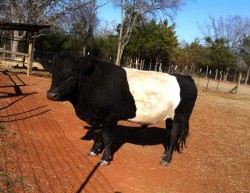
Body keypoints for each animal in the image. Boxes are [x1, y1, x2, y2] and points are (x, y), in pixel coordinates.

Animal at [46, 52, 196, 166]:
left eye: (71, 75)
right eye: (53, 73)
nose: (51, 94)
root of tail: (185, 77)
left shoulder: (110, 117)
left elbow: (107, 138)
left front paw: (105, 159)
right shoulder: (97, 117)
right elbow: (97, 134)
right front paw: (93, 151)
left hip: (180, 117)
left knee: (174, 136)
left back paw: (166, 160)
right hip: (170, 117)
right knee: (169, 134)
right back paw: (164, 154)